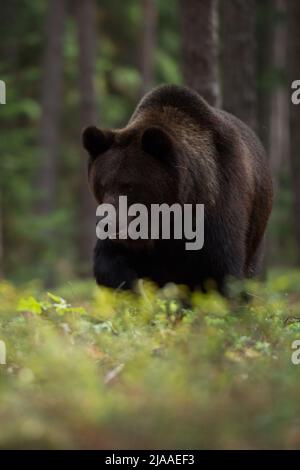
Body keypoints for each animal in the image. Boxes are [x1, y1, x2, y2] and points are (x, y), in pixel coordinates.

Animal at [81, 83, 274, 290]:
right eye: (102, 185)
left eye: (130, 186)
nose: (107, 223)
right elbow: (110, 264)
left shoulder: (218, 206)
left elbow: (220, 271)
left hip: (256, 227)